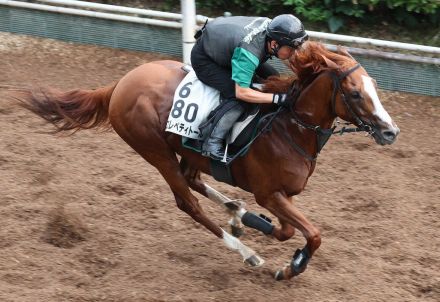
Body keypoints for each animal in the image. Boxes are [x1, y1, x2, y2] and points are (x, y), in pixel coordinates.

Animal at [14, 42, 398, 280]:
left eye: (374, 86)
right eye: (354, 93)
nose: (390, 131)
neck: (290, 125)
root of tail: (120, 83)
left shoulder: (282, 195)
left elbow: (289, 230)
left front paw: (257, 225)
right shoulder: (269, 194)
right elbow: (312, 234)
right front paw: (291, 266)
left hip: (188, 151)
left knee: (195, 180)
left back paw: (237, 214)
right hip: (155, 152)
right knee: (187, 202)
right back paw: (245, 250)